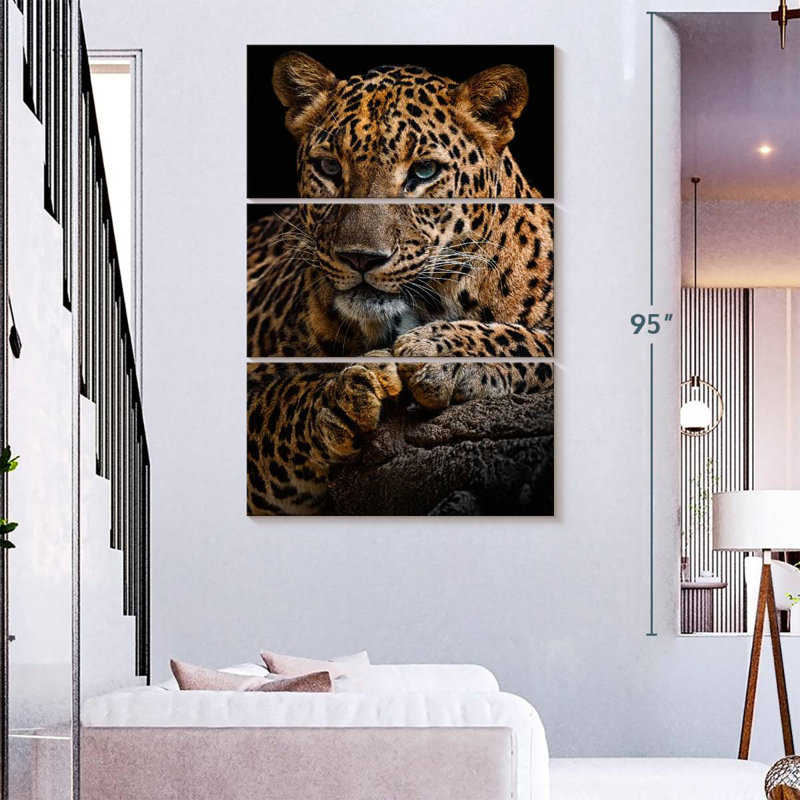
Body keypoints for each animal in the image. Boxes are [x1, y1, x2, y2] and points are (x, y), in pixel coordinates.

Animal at [247, 51, 554, 515]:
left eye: (424, 172)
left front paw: (437, 351)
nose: (360, 257)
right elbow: (275, 402)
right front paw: (340, 397)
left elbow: (527, 340)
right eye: (329, 167)